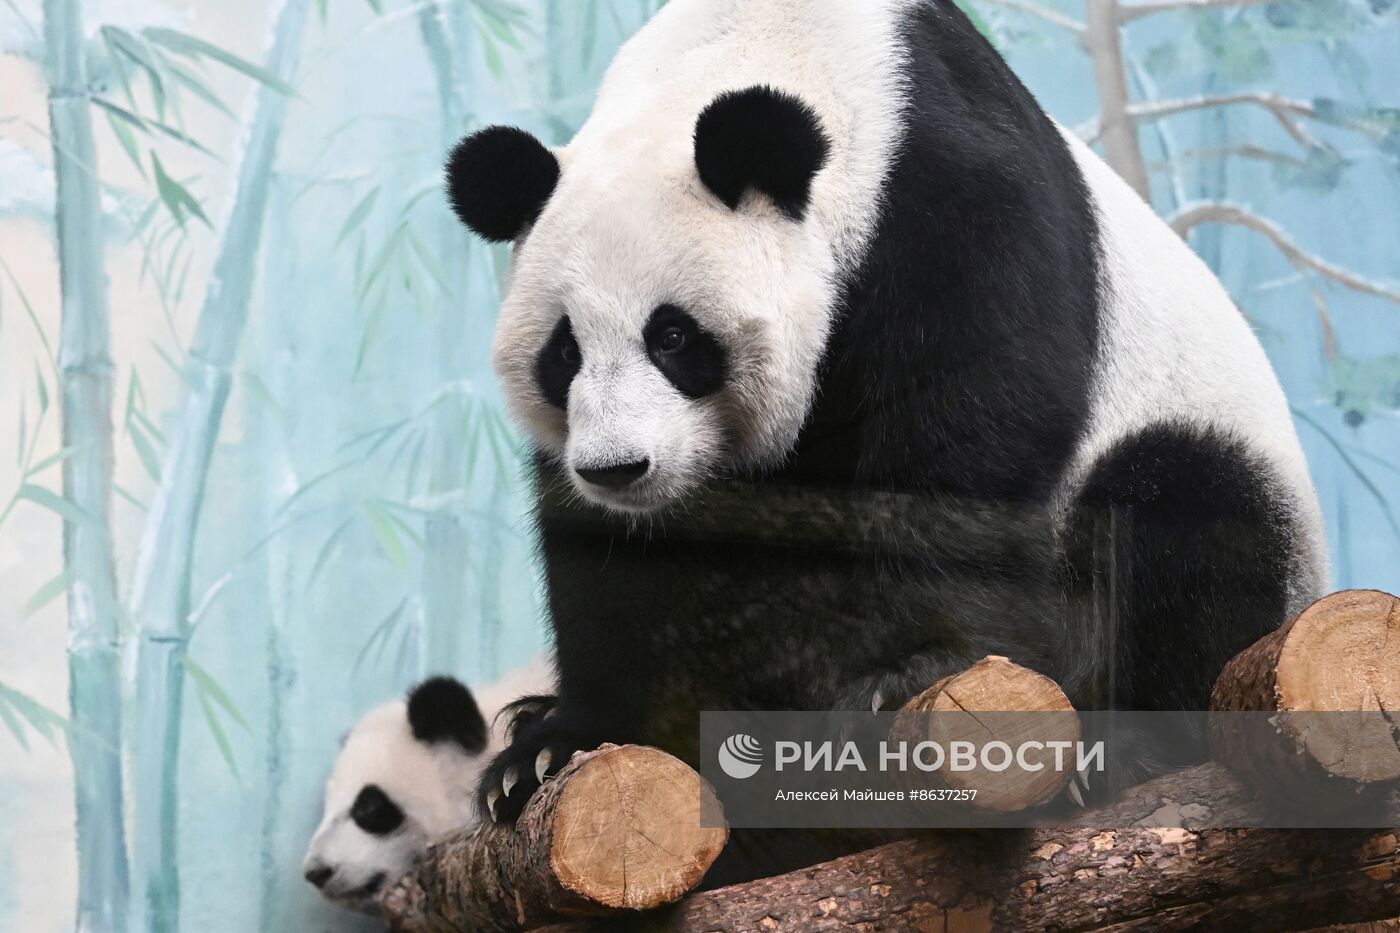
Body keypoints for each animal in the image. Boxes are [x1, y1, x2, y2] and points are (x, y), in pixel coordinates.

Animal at [436, 0, 1321, 879]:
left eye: (673, 336)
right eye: (564, 352)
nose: (619, 468)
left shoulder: (954, 199)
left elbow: (970, 436)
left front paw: (907, 677)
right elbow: (606, 562)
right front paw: (552, 746)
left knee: (1182, 508)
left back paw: (1120, 751)